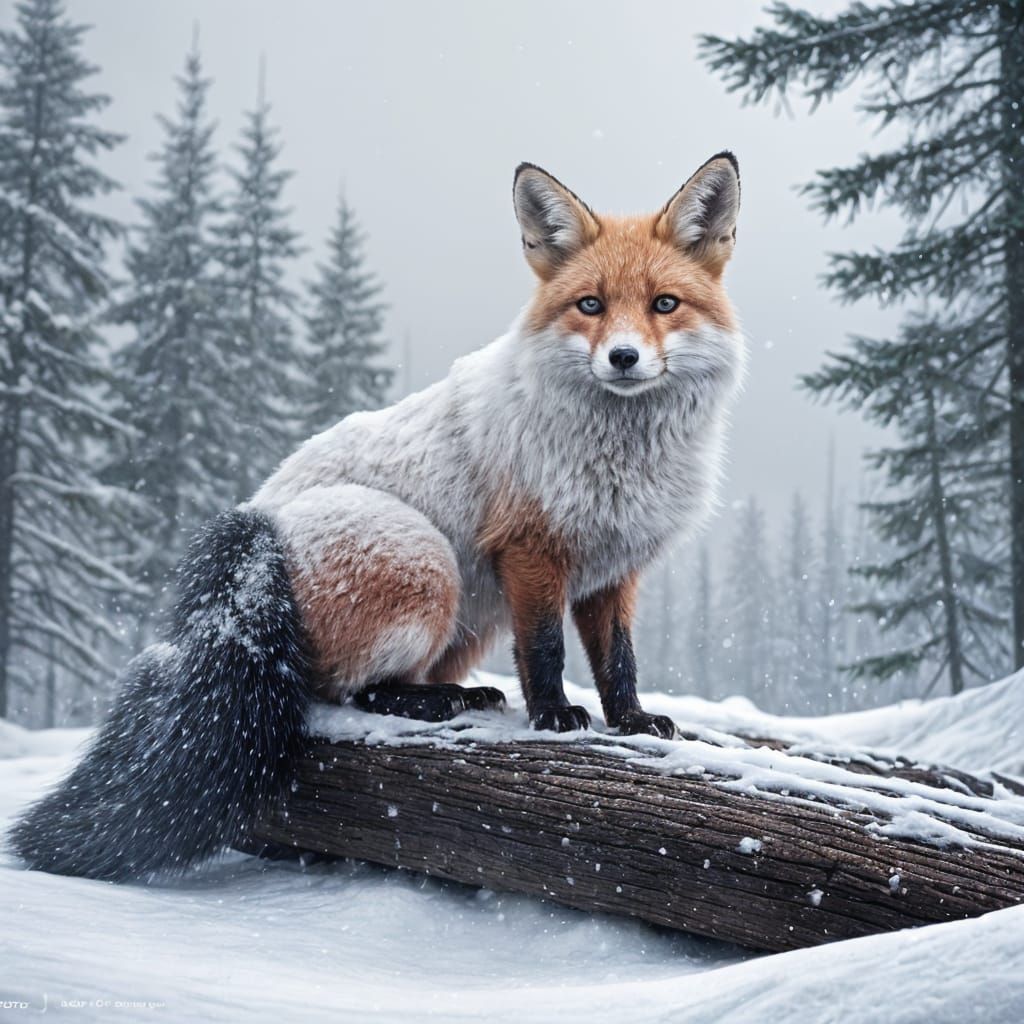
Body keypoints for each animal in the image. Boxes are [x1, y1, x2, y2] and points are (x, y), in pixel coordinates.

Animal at [9, 153, 746, 880]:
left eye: (664, 304)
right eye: (590, 305)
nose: (623, 358)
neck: (619, 457)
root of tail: (254, 531)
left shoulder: (611, 569)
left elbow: (618, 660)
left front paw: (633, 721)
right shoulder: (530, 550)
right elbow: (544, 650)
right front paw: (555, 716)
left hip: (466, 617)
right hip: (428, 565)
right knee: (344, 693)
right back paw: (441, 703)